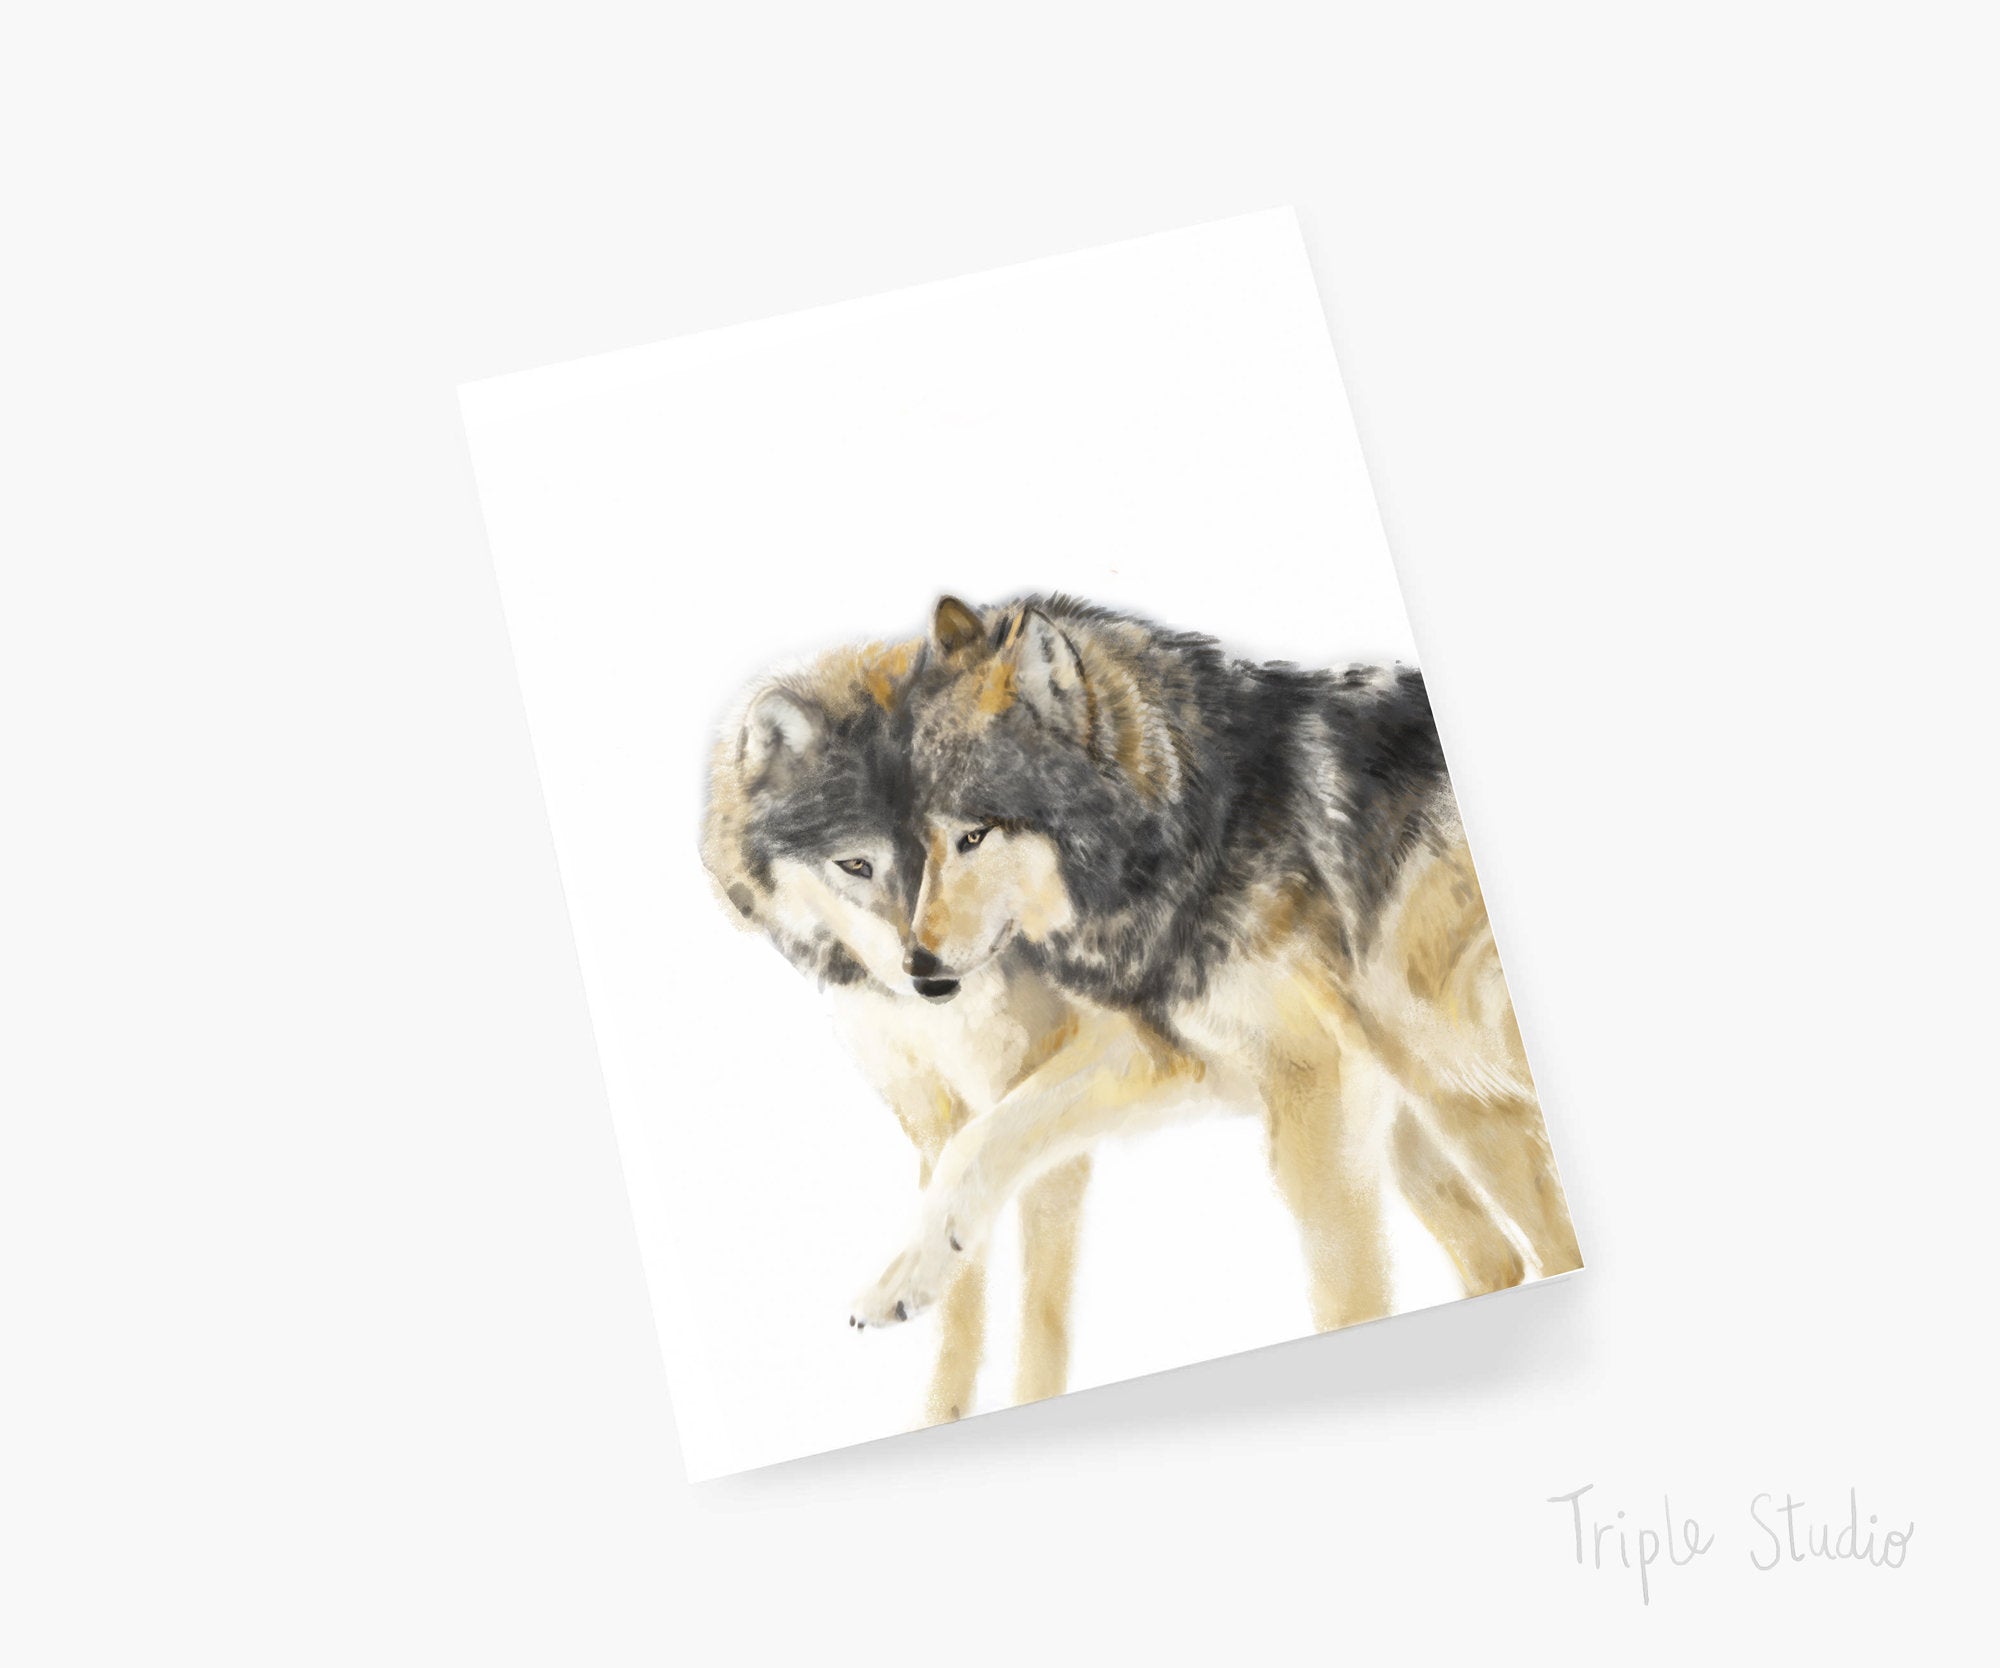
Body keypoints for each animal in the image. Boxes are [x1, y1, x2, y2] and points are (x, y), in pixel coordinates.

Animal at [846, 594, 1582, 1334]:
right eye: (921, 841)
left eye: (975, 834)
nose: (918, 968)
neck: (1199, 830)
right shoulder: (1171, 1053)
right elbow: (979, 1138)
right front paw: (906, 1276)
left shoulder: (1312, 1081)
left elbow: (1344, 1284)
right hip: (1446, 1092)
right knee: (1509, 1254)